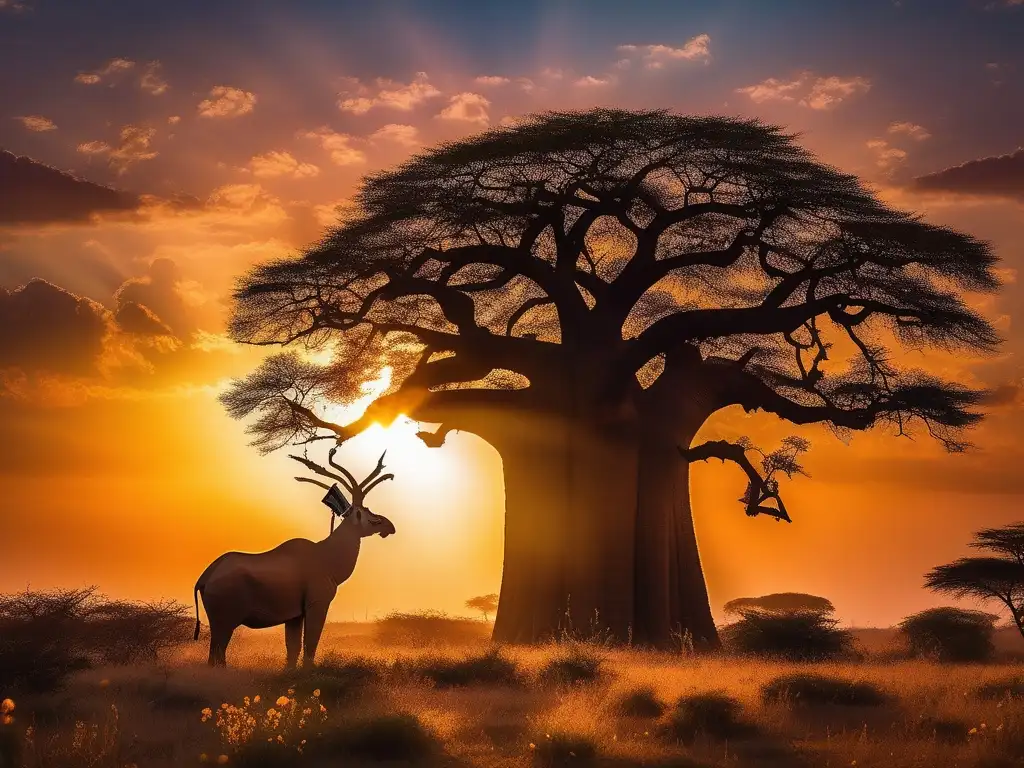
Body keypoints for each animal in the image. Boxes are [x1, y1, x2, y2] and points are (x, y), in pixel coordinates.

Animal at [192, 450, 395, 667]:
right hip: (225, 623)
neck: (325, 556)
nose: (389, 526)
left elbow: (293, 649)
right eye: (368, 513)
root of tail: (206, 576)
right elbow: (309, 647)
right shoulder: (317, 605)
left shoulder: (294, 616)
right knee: (217, 656)